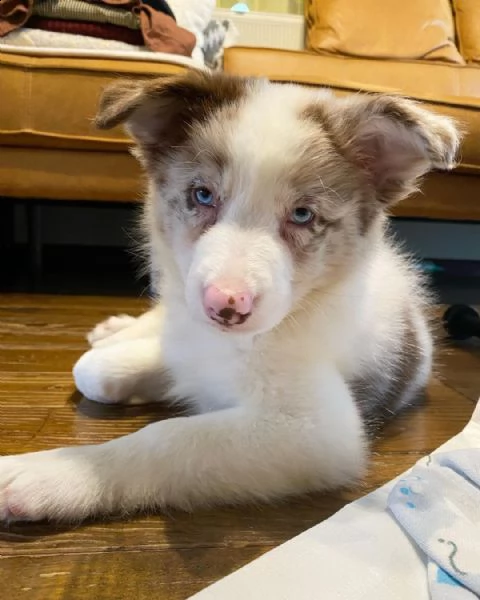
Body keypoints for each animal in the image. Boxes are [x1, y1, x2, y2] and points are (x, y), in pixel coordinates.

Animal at [0, 71, 462, 520]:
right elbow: (92, 371)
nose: (223, 306)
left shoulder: (317, 429)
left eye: (302, 214)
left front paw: (51, 475)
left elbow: (169, 438)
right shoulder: (187, 337)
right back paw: (117, 329)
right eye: (202, 194)